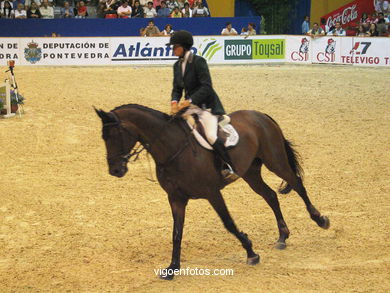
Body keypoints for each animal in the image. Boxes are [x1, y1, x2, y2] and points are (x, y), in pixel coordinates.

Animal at [94, 104, 330, 278]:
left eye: (115, 134)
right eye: (103, 137)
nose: (115, 170)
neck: (173, 150)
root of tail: (260, 115)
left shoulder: (212, 193)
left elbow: (229, 224)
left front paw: (251, 252)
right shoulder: (176, 198)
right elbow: (176, 233)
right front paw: (172, 268)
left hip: (275, 161)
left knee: (297, 184)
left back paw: (320, 220)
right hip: (250, 172)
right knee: (270, 196)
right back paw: (282, 236)